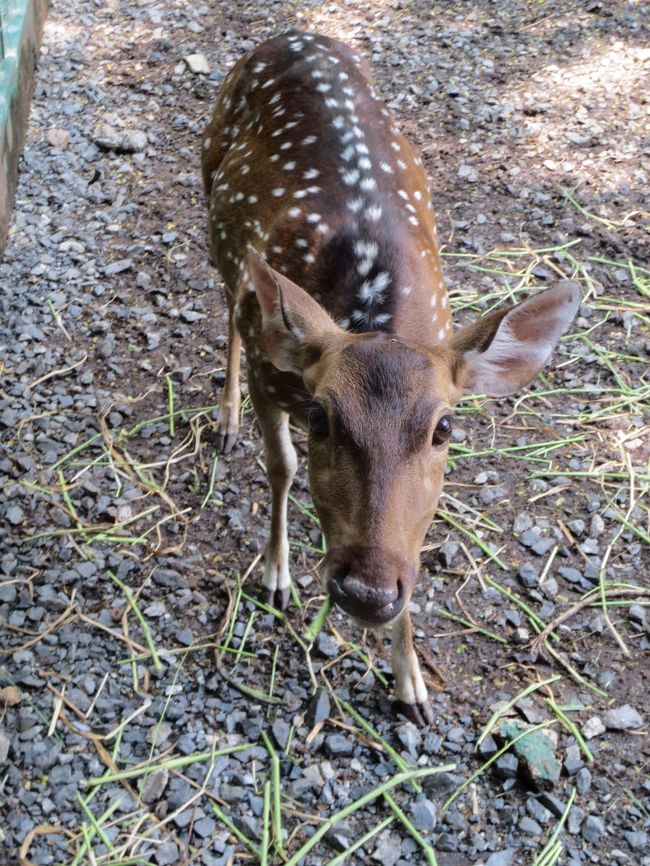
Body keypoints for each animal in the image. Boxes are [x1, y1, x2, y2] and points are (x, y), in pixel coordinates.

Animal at [202, 28, 576, 724]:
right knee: (231, 309)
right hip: (215, 198)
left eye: (445, 429)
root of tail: (290, 33)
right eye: (320, 416)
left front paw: (411, 685)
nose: (367, 592)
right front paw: (274, 573)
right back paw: (226, 419)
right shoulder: (275, 371)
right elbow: (282, 467)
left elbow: (418, 538)